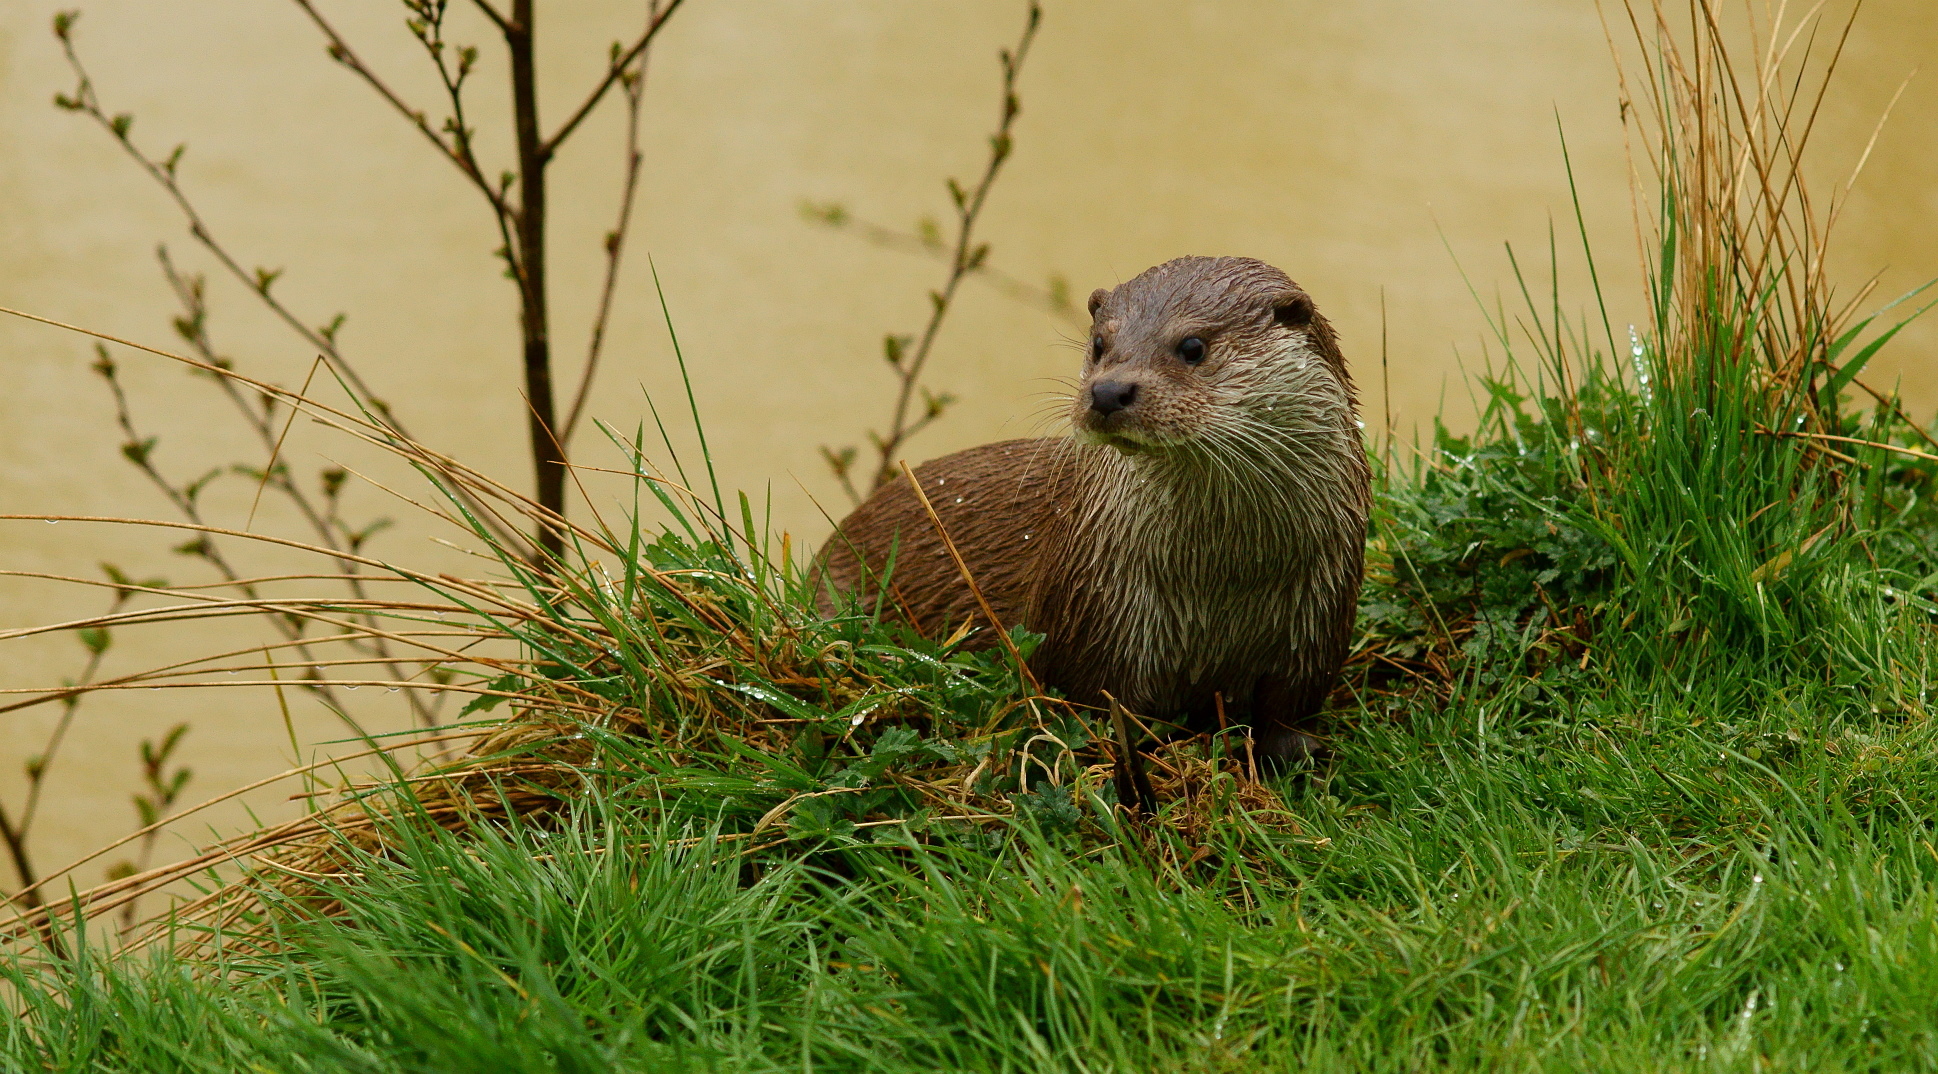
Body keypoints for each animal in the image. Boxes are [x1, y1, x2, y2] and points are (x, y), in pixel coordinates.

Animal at [813, 255, 1364, 759]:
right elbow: (1100, 704)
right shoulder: (1095, 612)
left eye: (1193, 347)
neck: (1224, 578)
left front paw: (1294, 750)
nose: (1109, 390)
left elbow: (1288, 705)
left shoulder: (1320, 614)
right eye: (1100, 343)